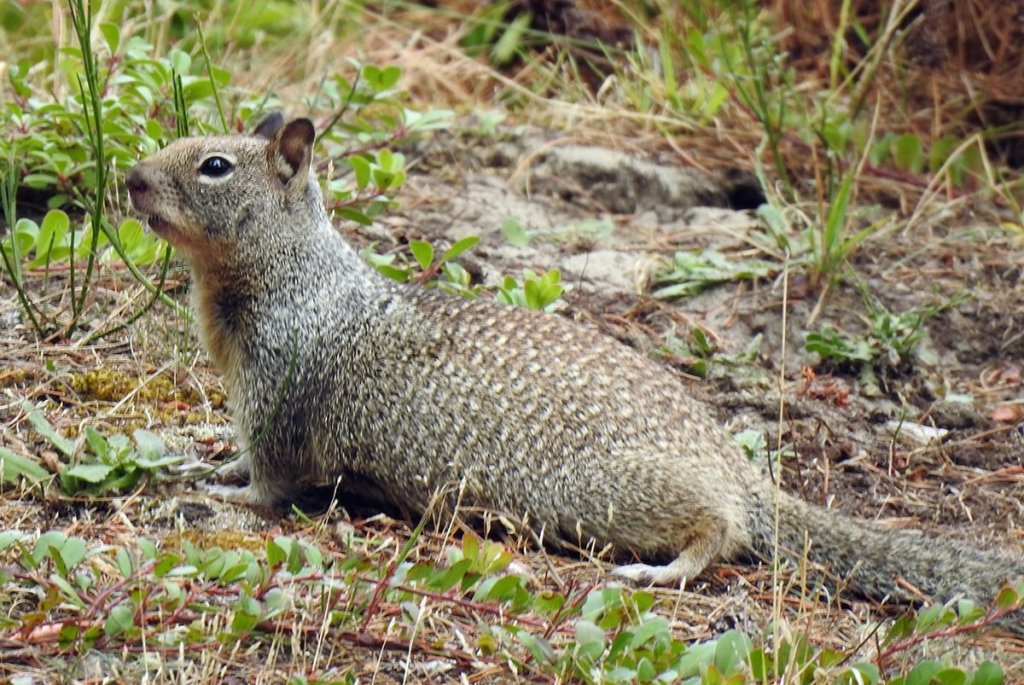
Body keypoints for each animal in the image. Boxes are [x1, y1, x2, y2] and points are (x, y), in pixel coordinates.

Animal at [126, 113, 1022, 608]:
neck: (292, 275)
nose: (131, 178)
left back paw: (665, 572)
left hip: (611, 491)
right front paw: (204, 457)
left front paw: (220, 491)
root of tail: (737, 467)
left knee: (724, 529)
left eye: (214, 165)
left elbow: (270, 480)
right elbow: (240, 450)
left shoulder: (280, 395)